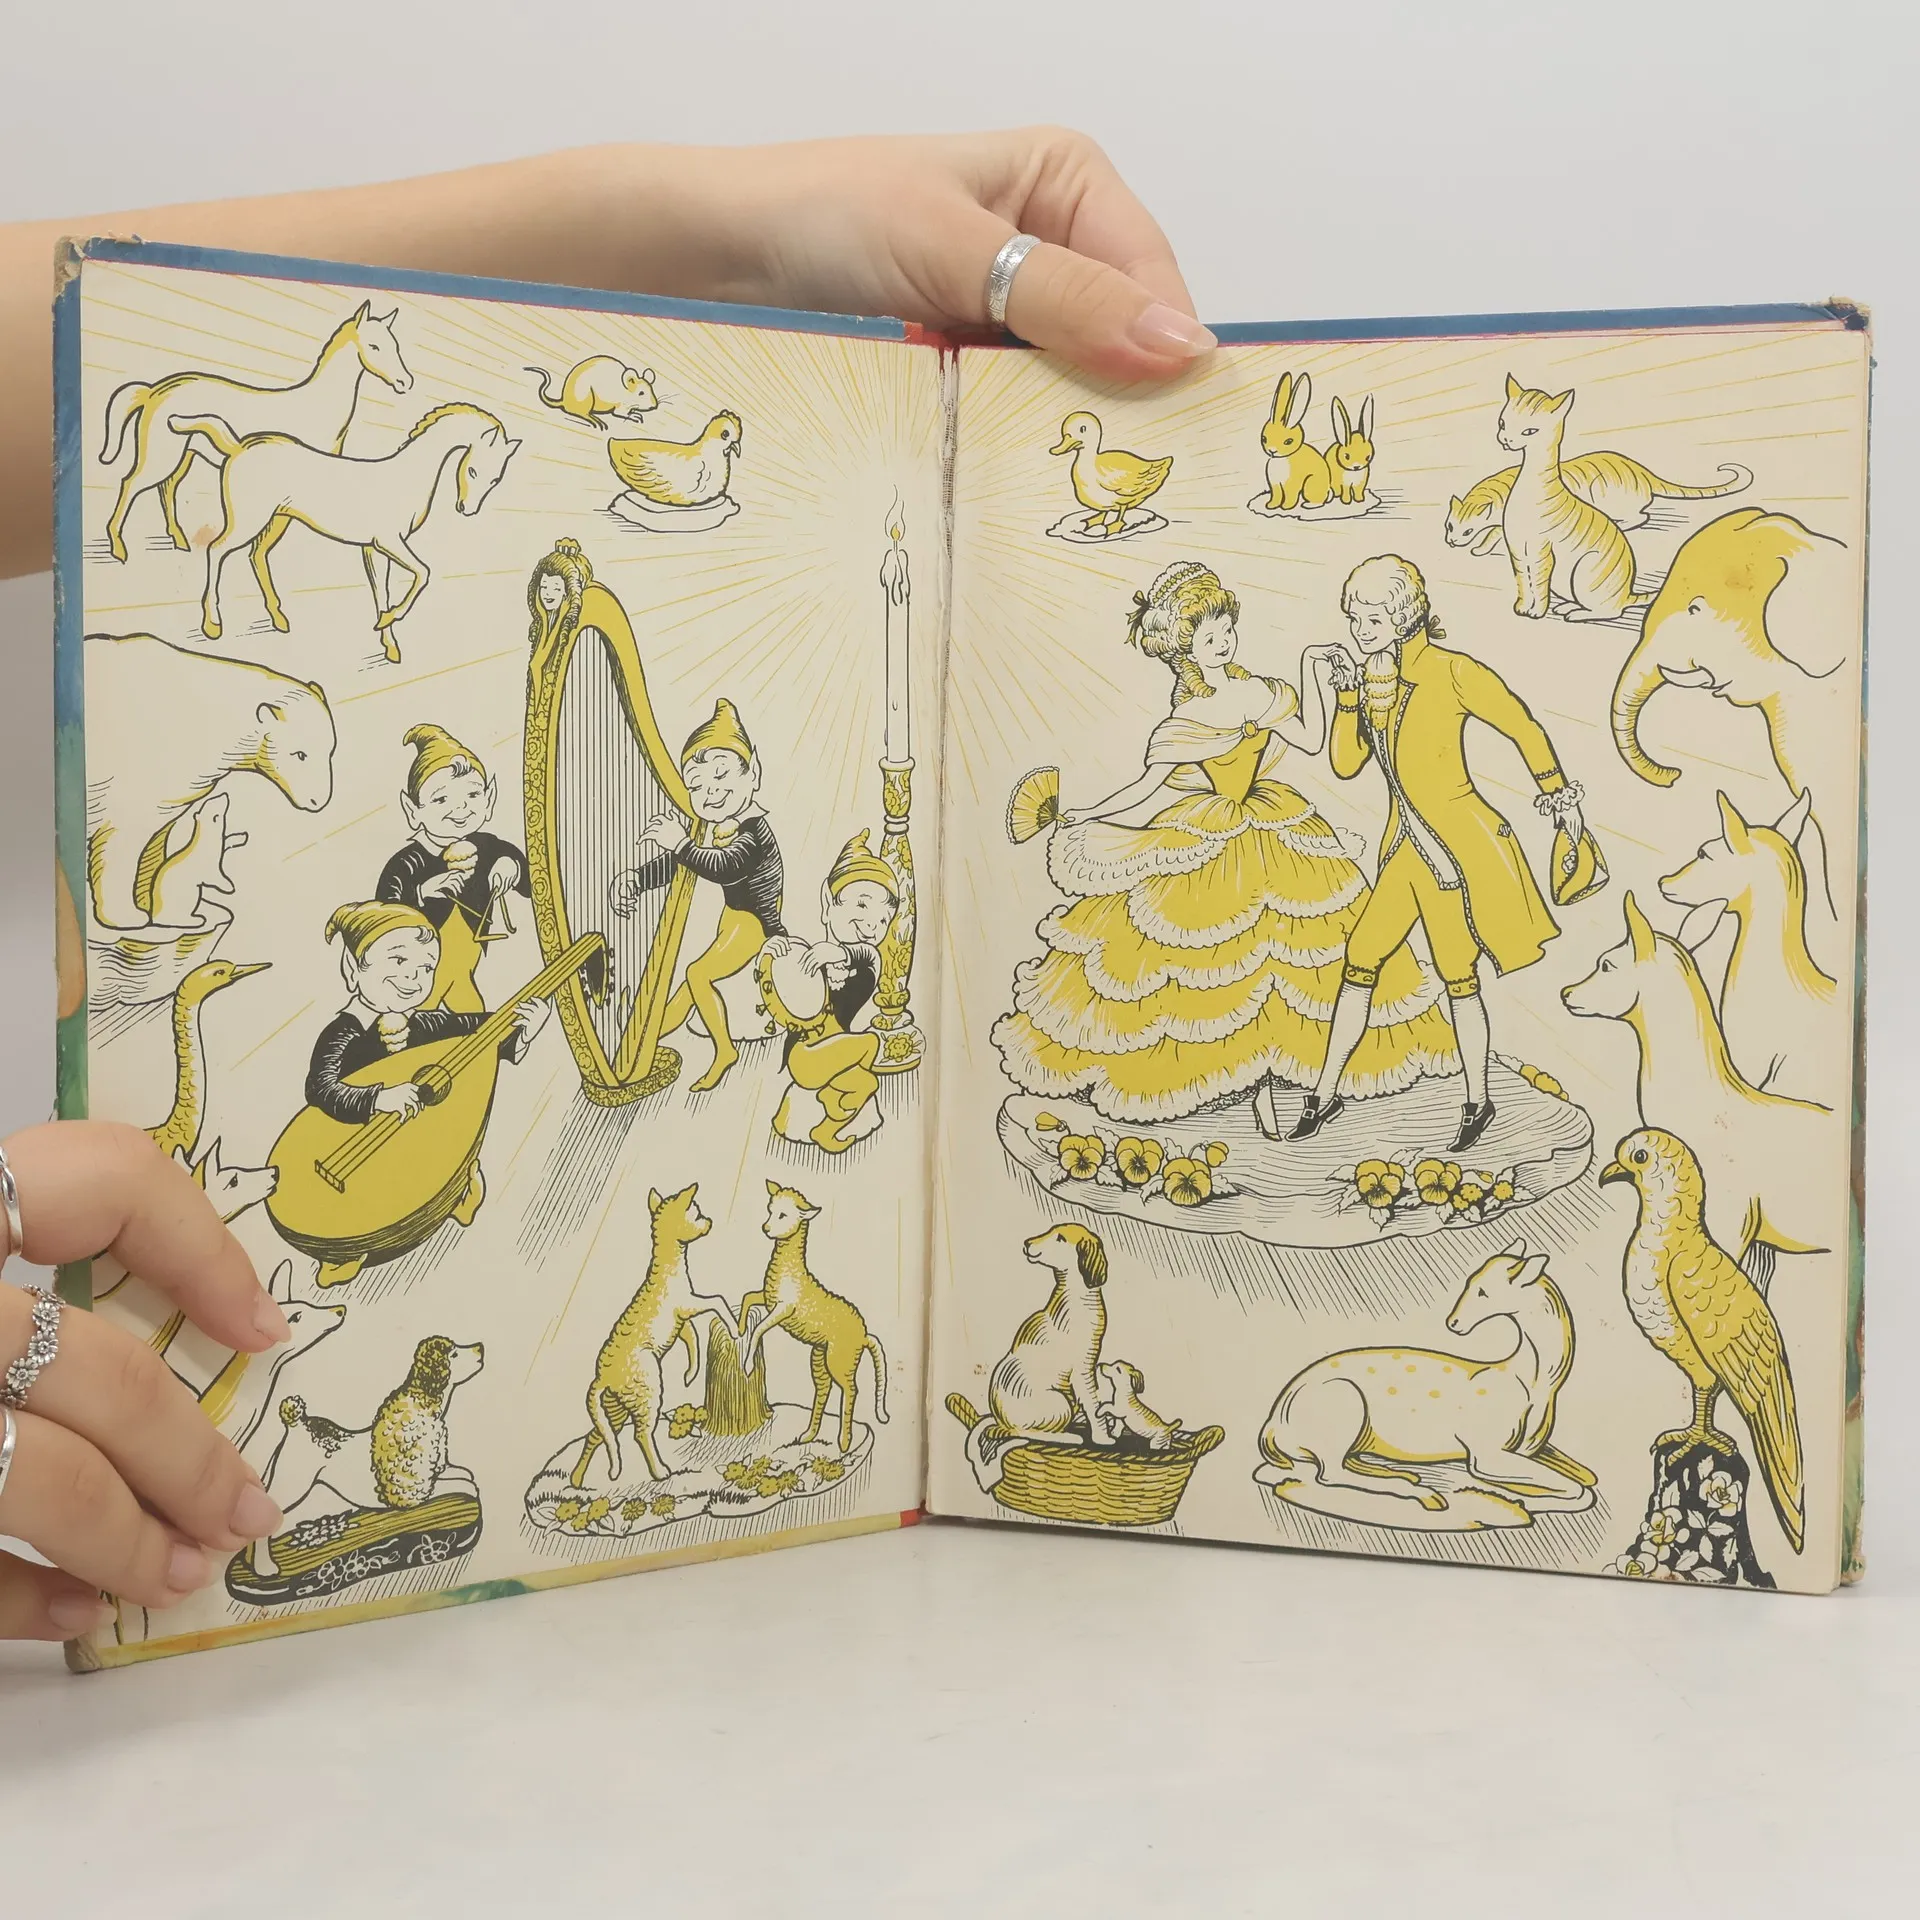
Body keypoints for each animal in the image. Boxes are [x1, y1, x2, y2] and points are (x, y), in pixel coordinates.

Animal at [99, 303, 413, 563]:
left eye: (396, 345)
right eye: (374, 346)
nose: (405, 382)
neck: (316, 407)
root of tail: (154, 390)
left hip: (184, 453)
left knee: (167, 487)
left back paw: (179, 540)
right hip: (162, 455)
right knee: (131, 483)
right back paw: (118, 548)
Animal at [179, 404, 521, 659]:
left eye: (496, 479)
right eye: (472, 469)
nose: (467, 509)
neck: (407, 477)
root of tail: (238, 446)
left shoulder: (374, 548)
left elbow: (382, 591)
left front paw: (389, 644)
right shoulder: (389, 542)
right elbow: (422, 573)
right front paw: (388, 622)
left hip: (277, 519)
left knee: (257, 555)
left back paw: (279, 619)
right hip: (249, 519)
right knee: (217, 550)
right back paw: (213, 624)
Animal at [1446, 449, 1752, 555]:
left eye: (1468, 530)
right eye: (1449, 526)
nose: (1450, 542)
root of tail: (1644, 472)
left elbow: (1492, 535)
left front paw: (1479, 549)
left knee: (1641, 517)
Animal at [1496, 376, 1658, 623]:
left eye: (1530, 431)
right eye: (1503, 423)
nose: (1505, 440)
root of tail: (1627, 594)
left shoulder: (1542, 553)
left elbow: (1539, 586)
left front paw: (1536, 612)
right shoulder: (1517, 552)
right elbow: (1523, 583)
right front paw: (1522, 607)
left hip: (1584, 570)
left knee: (1610, 611)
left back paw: (1576, 613)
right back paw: (1567, 607)